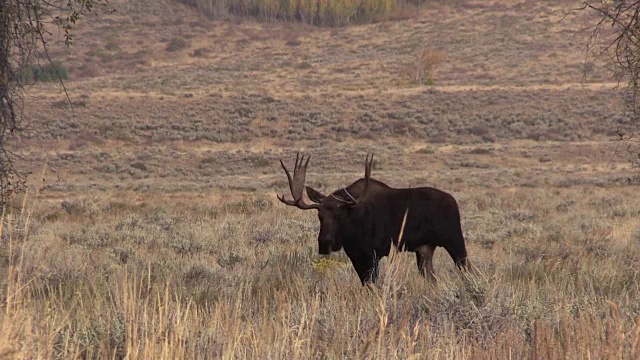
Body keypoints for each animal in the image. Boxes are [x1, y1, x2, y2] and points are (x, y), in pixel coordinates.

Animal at [276, 153, 470, 286]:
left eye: (340, 215)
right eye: (319, 216)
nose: (324, 243)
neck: (352, 232)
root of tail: (453, 201)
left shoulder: (373, 254)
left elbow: (374, 284)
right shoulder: (356, 255)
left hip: (454, 240)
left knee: (466, 269)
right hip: (425, 249)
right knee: (432, 278)